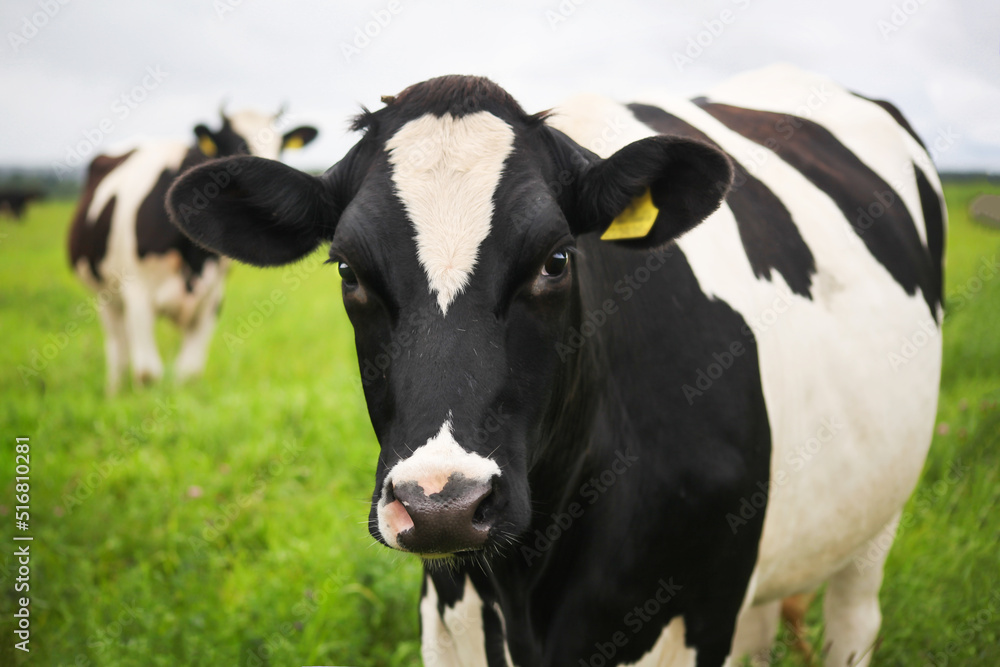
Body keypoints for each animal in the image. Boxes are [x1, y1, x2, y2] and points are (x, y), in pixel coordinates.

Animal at [68, 107, 316, 394]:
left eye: (280, 149)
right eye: (236, 151)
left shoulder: (211, 299)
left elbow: (188, 372)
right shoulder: (138, 293)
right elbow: (148, 373)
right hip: (103, 296)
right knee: (118, 348)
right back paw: (114, 392)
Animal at [166, 66, 944, 667]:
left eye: (556, 259)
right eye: (349, 271)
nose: (442, 503)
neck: (529, 586)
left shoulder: (699, 612)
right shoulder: (449, 618)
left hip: (878, 513)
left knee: (854, 621)